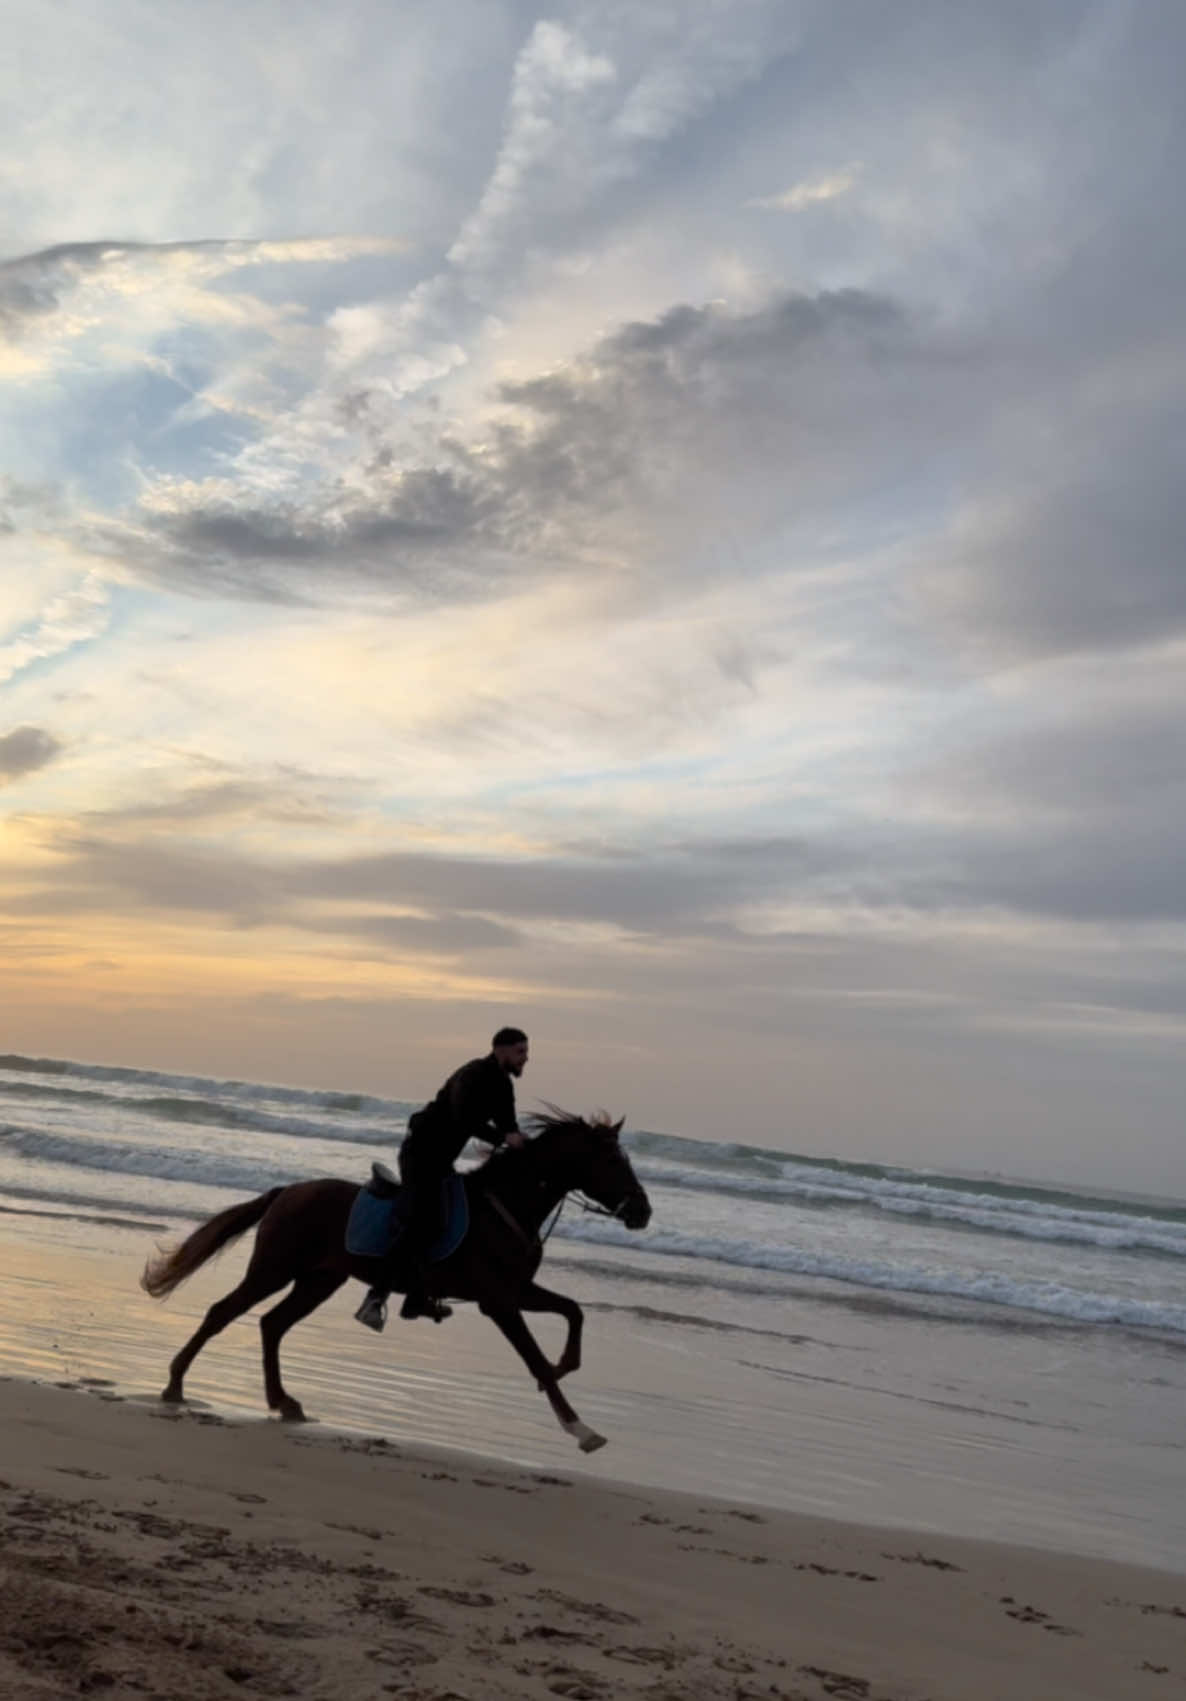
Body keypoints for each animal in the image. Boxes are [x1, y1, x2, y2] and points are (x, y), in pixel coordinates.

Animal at [145, 1109, 656, 1456]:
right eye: (612, 1161)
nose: (643, 1212)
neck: (507, 1207)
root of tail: (288, 1191)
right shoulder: (497, 1301)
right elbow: (535, 1359)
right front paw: (581, 1429)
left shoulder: (515, 1292)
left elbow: (573, 1310)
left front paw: (567, 1363)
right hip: (275, 1268)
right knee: (224, 1312)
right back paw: (175, 1385)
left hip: (319, 1279)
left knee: (272, 1324)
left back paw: (283, 1401)